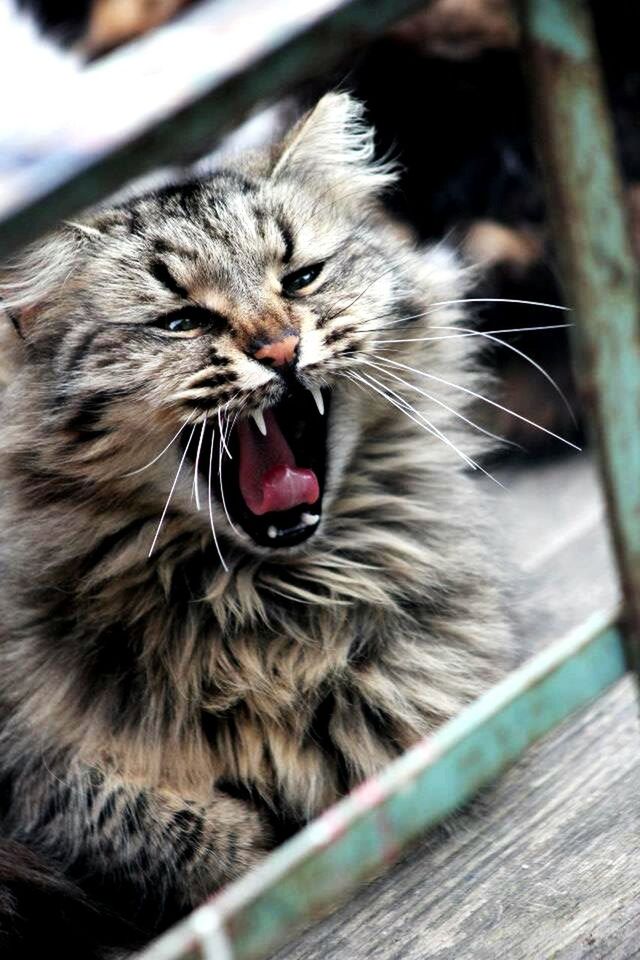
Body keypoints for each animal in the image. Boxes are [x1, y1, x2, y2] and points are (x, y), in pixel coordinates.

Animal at [0, 94, 510, 956]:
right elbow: (110, 807)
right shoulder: (30, 778)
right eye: (179, 322)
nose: (279, 349)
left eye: (301, 278)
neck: (267, 617)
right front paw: (248, 846)